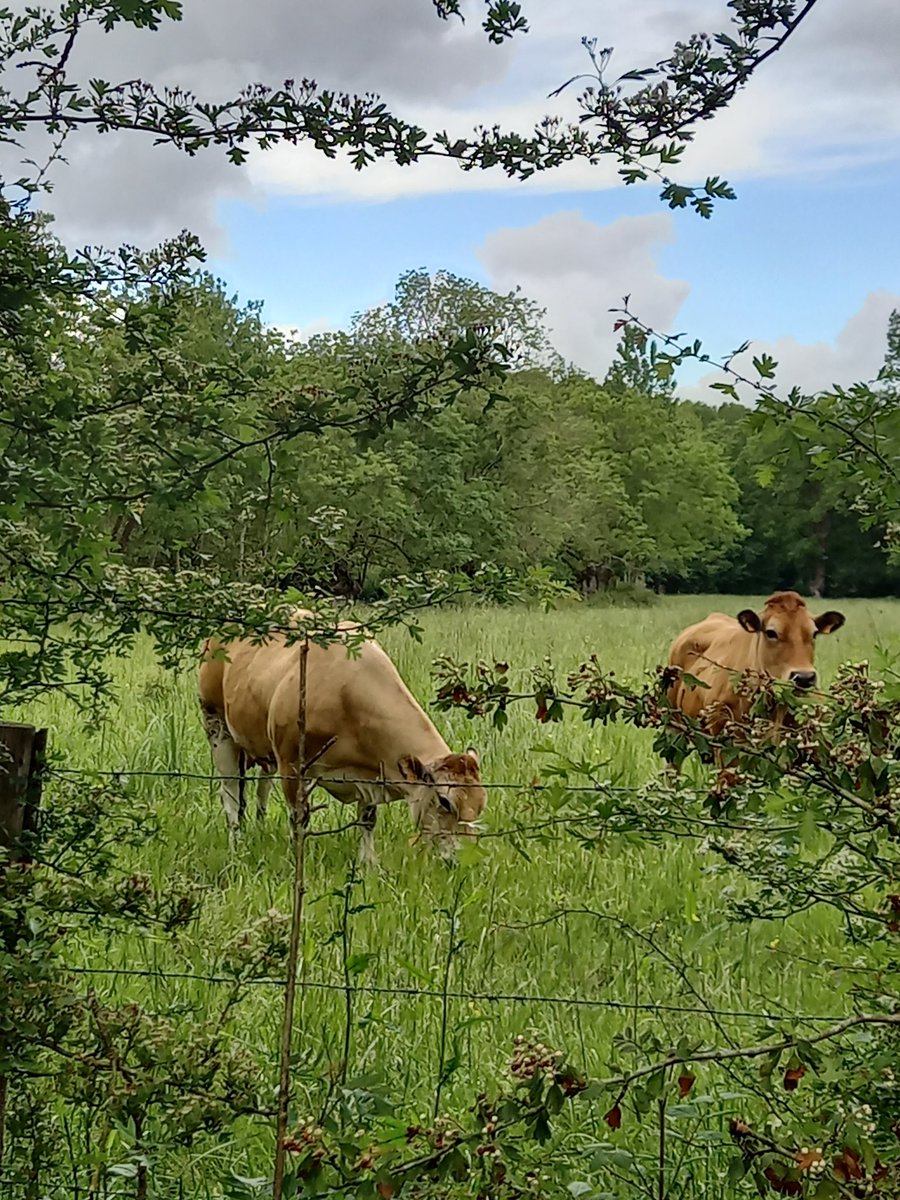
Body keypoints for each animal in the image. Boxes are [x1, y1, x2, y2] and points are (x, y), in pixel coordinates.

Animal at [196, 609, 487, 864]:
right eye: (445, 801)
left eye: (480, 804)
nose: (465, 859)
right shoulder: (291, 763)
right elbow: (299, 819)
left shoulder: (372, 773)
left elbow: (367, 819)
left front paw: (368, 864)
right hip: (217, 725)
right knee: (230, 793)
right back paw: (237, 844)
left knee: (260, 787)